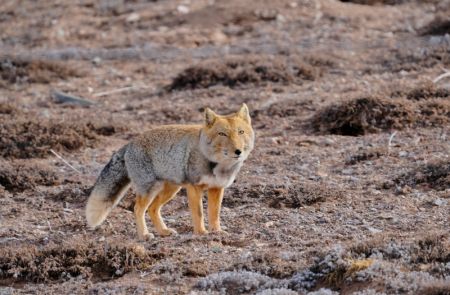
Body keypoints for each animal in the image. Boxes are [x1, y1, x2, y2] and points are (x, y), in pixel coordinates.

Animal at [84, 104, 253, 240]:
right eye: (222, 134)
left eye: (240, 132)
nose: (238, 151)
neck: (218, 165)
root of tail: (130, 143)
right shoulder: (194, 188)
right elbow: (199, 213)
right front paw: (201, 233)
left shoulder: (217, 188)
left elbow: (214, 213)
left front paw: (216, 232)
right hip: (150, 190)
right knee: (138, 209)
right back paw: (144, 235)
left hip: (171, 190)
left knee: (152, 209)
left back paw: (163, 231)